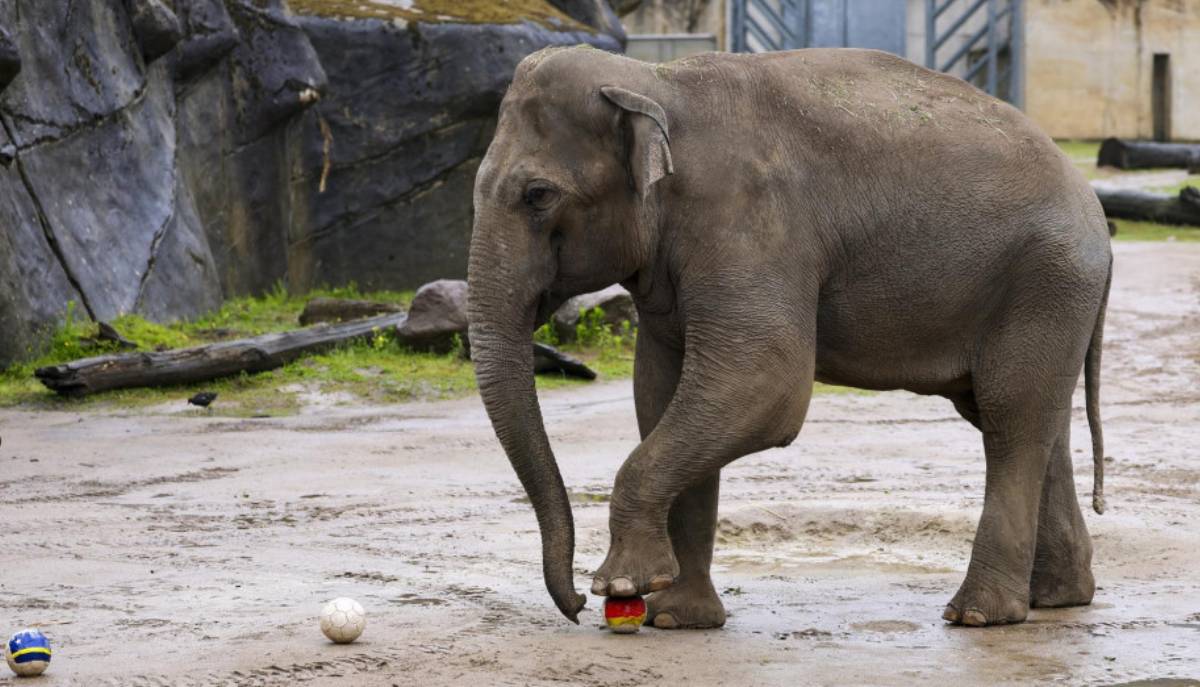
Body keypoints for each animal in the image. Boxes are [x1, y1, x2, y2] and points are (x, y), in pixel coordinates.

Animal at [467, 45, 1111, 630]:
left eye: (538, 195)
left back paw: (978, 615)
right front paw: (677, 619)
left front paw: (625, 584)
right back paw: (1058, 598)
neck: (657, 81)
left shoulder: (752, 224)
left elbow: (763, 385)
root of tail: (1094, 209)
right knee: (1032, 420)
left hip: (1045, 280)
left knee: (1011, 420)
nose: (575, 604)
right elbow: (661, 395)